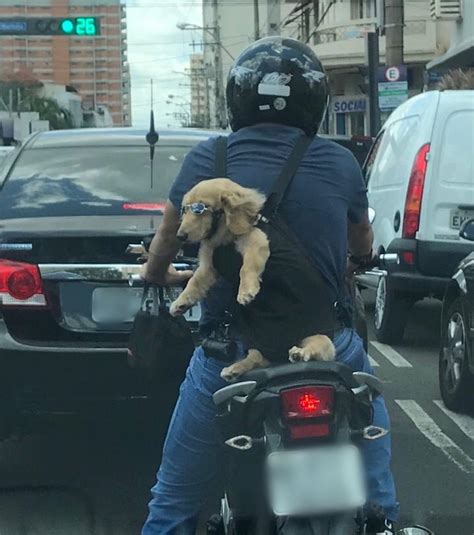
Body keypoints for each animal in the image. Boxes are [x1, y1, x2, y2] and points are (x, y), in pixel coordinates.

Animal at [168, 179, 336, 382]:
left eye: (199, 209)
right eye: (184, 209)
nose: (180, 236)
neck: (224, 235)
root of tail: (280, 354)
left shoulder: (256, 242)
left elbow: (246, 267)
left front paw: (246, 291)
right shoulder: (209, 266)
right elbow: (194, 283)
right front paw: (180, 304)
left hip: (320, 339)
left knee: (312, 351)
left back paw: (299, 354)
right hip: (254, 342)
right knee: (258, 358)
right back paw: (234, 369)